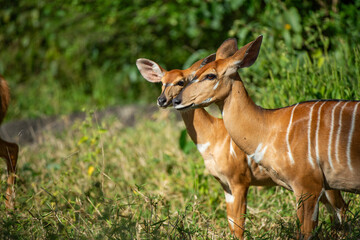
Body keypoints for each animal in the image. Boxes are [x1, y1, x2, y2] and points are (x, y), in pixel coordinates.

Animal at [136, 46, 348, 239]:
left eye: (181, 81)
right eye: (162, 82)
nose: (162, 100)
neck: (212, 137)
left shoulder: (239, 179)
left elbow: (239, 227)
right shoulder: (225, 183)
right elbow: (231, 224)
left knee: (340, 208)